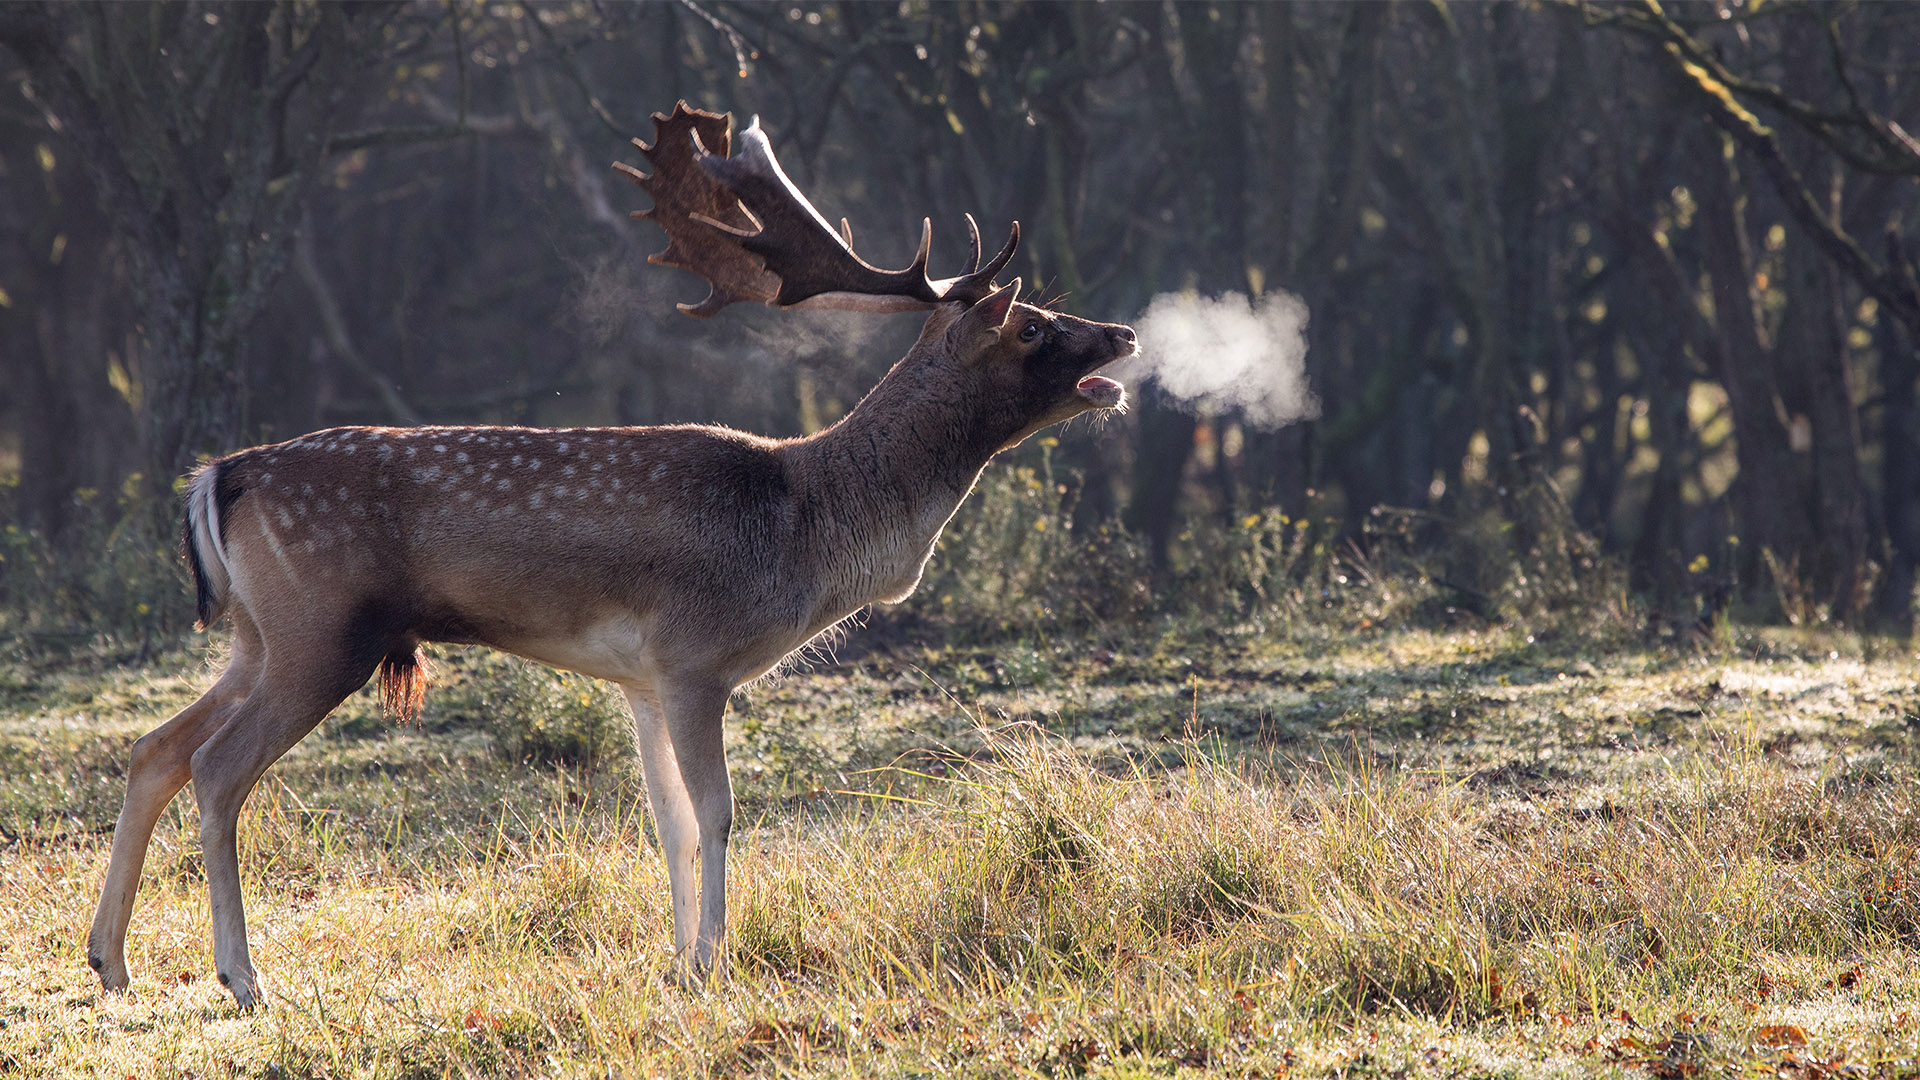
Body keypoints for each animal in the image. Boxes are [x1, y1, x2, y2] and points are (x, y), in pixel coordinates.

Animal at [90, 105, 1128, 1006]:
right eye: (1033, 324)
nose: (1120, 331)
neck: (807, 523)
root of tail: (220, 475)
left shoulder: (640, 677)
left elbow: (668, 821)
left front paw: (678, 959)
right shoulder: (696, 657)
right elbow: (715, 812)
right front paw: (713, 964)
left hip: (259, 635)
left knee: (155, 747)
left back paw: (110, 961)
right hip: (322, 630)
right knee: (217, 766)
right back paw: (243, 977)